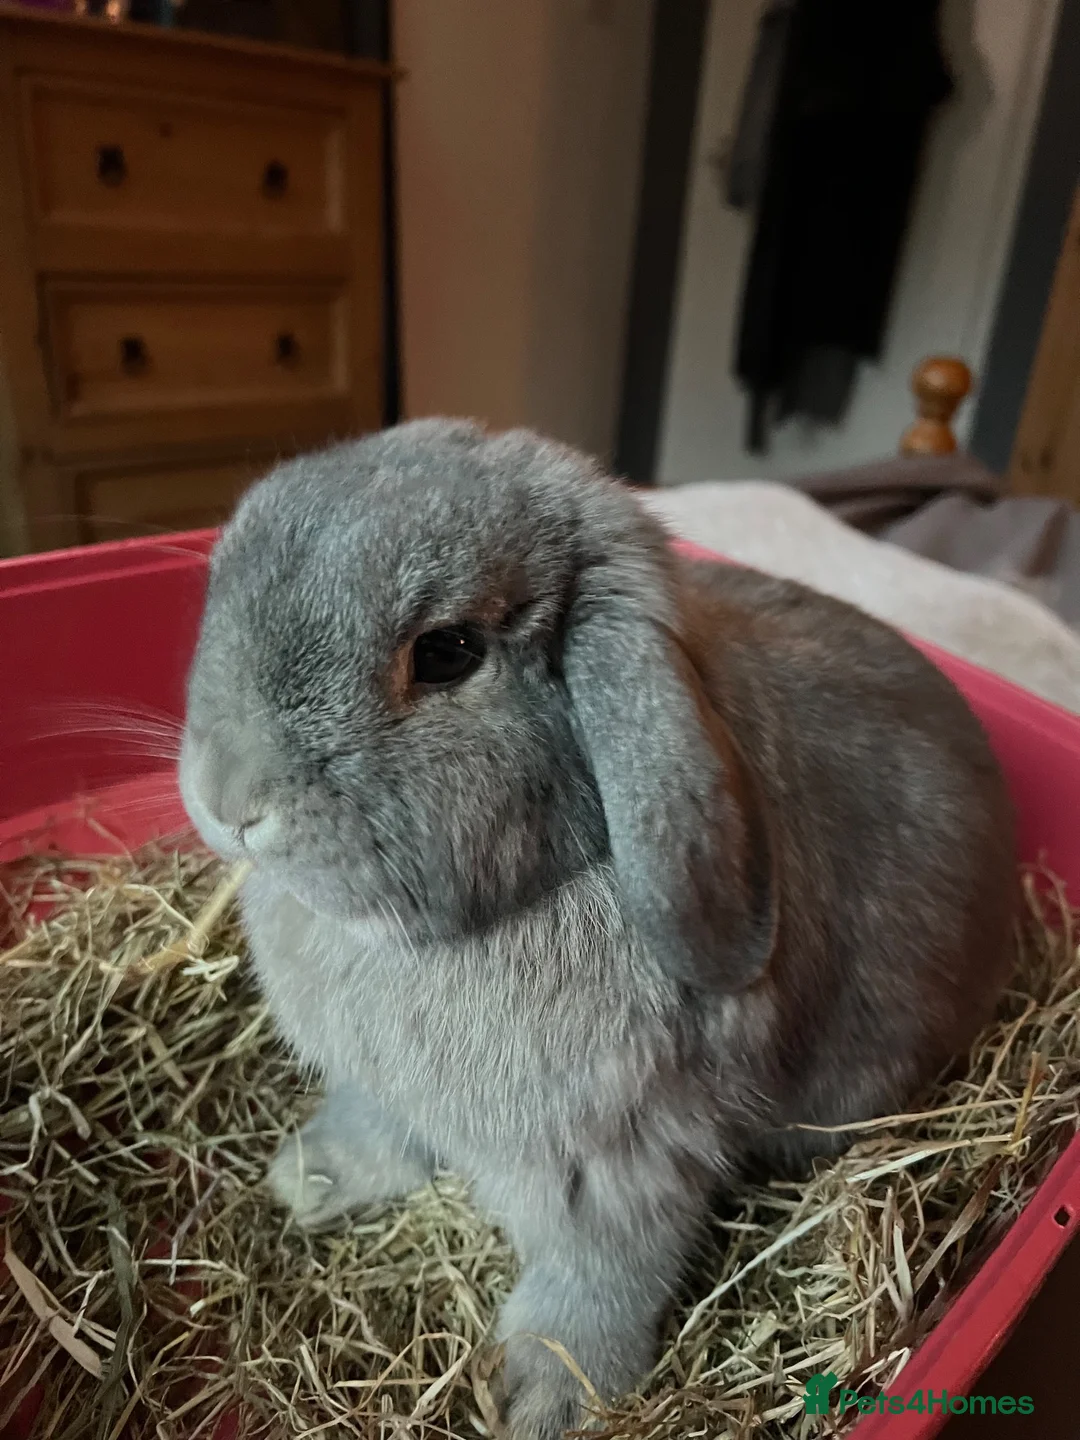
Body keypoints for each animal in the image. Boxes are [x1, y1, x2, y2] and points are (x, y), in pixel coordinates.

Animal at [178, 419, 1016, 1440]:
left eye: (448, 651)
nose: (229, 798)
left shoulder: (617, 1166)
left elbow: (596, 1277)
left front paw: (546, 1394)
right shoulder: (385, 1093)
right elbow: (377, 1133)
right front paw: (307, 1178)